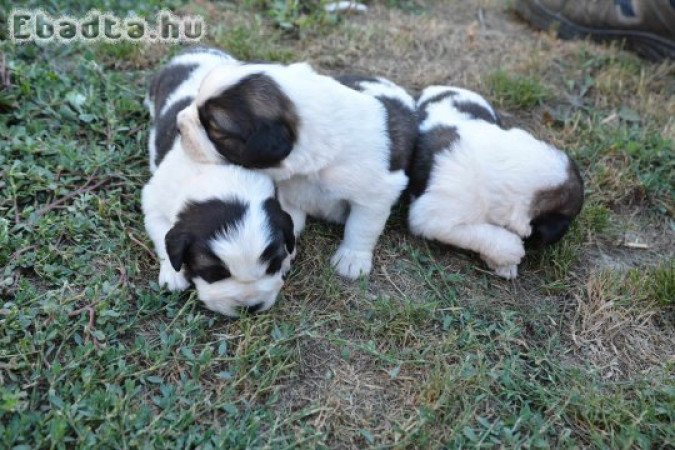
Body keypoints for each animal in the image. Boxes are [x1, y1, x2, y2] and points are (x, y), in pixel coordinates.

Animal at [143, 48, 294, 316]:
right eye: (214, 273)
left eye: (272, 264)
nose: (249, 307)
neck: (220, 173)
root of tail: (194, 50)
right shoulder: (153, 202)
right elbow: (162, 233)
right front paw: (173, 275)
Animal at [176, 62, 418, 282]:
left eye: (214, 128)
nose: (178, 124)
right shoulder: (291, 191)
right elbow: (290, 220)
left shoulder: (374, 196)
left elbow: (361, 227)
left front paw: (352, 258)